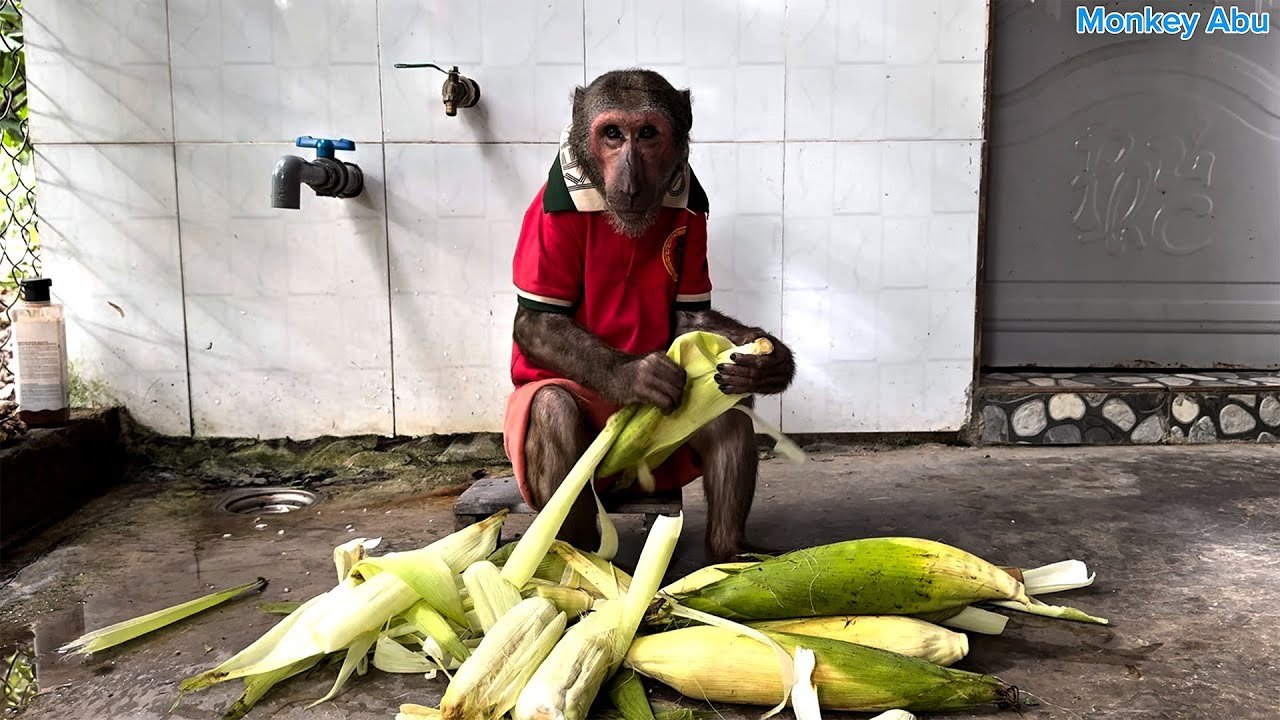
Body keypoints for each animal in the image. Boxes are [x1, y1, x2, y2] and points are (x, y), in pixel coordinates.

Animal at [500, 69, 796, 563]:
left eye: (647, 134)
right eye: (612, 134)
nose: (630, 177)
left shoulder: (696, 216)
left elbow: (690, 319)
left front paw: (772, 361)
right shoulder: (547, 218)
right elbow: (537, 322)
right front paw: (637, 375)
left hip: (664, 467)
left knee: (728, 406)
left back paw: (730, 551)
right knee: (550, 409)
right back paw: (569, 557)